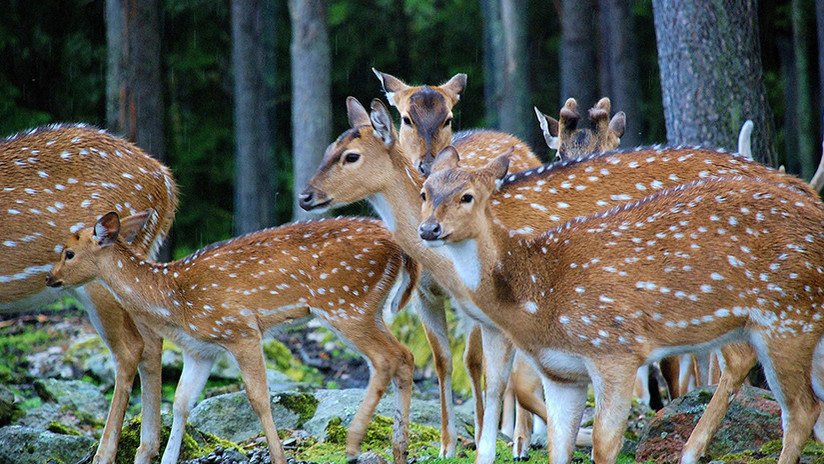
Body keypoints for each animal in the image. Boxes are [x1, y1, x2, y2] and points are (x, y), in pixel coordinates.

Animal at [0, 123, 175, 464]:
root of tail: (167, 181)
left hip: (100, 282)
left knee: (130, 349)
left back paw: (104, 453)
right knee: (152, 342)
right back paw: (146, 450)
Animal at [45, 211, 418, 464]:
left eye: (68, 253)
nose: (50, 278)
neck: (174, 302)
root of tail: (399, 246)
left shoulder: (240, 329)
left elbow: (259, 398)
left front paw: (279, 457)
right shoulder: (201, 350)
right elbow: (181, 402)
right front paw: (169, 457)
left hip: (345, 303)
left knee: (386, 358)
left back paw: (354, 444)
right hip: (368, 307)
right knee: (406, 356)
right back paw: (399, 448)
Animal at [418, 150, 824, 462]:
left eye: (467, 196)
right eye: (425, 192)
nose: (428, 229)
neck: (538, 291)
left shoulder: (615, 349)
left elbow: (604, 443)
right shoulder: (560, 373)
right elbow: (557, 446)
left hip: (788, 318)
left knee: (801, 410)